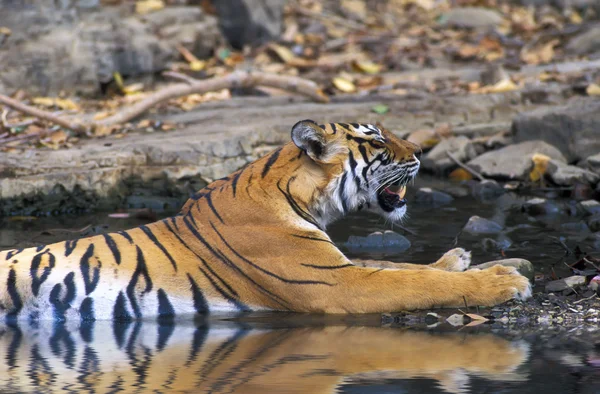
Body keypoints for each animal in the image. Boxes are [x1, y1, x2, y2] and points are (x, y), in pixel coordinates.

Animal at [0, 120, 528, 320]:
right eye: (378, 141)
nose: (421, 151)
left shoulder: (338, 265)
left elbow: (405, 267)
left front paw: (470, 261)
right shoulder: (338, 284)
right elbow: (411, 283)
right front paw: (503, 283)